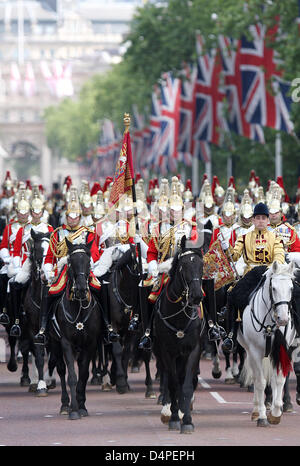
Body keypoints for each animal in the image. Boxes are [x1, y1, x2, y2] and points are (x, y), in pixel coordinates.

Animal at [47, 238, 102, 420]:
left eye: (88, 261)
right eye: (71, 261)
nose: (81, 289)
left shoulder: (90, 344)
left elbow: (83, 375)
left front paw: (82, 406)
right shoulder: (66, 343)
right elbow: (71, 375)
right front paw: (74, 409)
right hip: (54, 343)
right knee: (61, 370)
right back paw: (66, 404)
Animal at [154, 231, 212, 436]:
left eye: (201, 266)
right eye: (183, 266)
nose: (196, 296)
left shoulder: (193, 350)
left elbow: (185, 386)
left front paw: (187, 420)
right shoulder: (167, 352)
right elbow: (173, 384)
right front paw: (173, 417)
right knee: (169, 378)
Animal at [238, 260, 296, 428]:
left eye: (291, 288)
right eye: (274, 288)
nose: (283, 319)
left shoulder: (283, 349)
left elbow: (279, 380)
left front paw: (276, 413)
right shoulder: (255, 352)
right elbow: (260, 382)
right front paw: (263, 416)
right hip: (250, 352)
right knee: (256, 377)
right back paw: (256, 410)